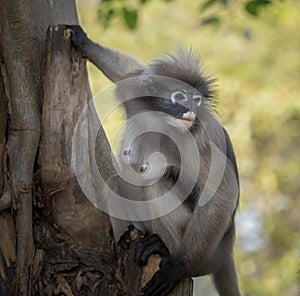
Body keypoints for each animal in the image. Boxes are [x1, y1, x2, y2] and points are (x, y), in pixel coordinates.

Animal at [68, 25, 241, 296]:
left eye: (196, 100)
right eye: (179, 97)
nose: (191, 111)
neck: (162, 121)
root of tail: (225, 249)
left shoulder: (196, 141)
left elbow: (222, 194)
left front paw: (177, 267)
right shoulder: (139, 97)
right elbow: (127, 73)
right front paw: (84, 42)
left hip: (204, 249)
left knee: (154, 183)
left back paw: (162, 247)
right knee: (118, 182)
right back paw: (127, 240)